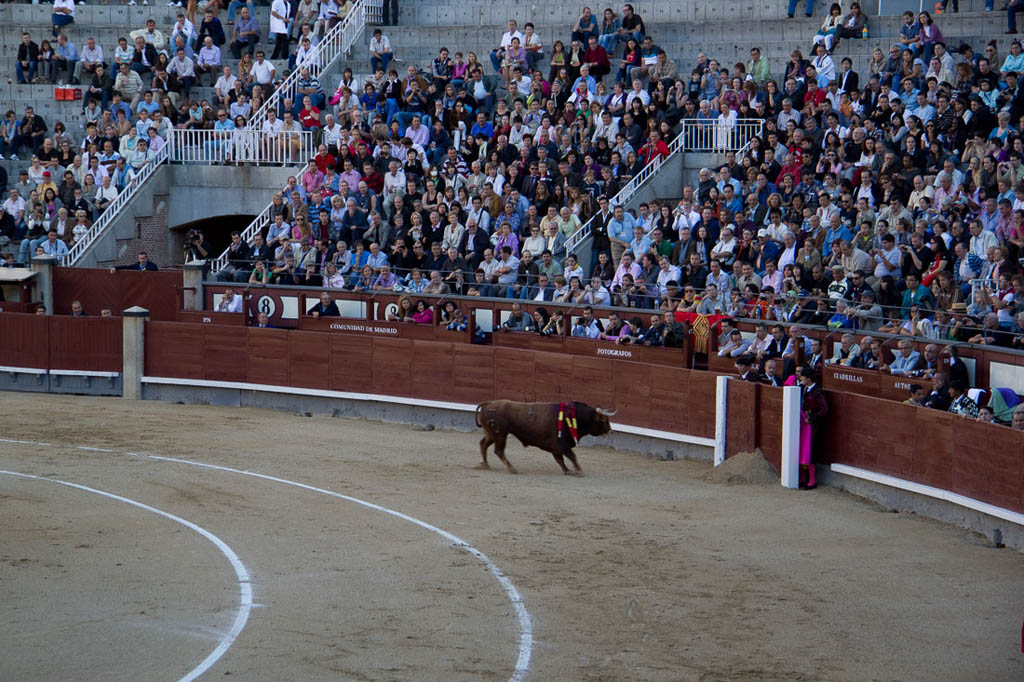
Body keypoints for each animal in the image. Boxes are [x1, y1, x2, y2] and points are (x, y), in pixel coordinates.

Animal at [473, 399, 614, 473]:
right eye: (603, 419)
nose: (610, 429)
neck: (571, 416)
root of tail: (488, 404)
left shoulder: (556, 447)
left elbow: (560, 459)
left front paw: (568, 471)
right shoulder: (561, 444)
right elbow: (571, 456)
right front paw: (578, 470)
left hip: (492, 433)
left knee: (483, 444)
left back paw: (484, 465)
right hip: (500, 434)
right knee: (498, 450)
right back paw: (512, 468)